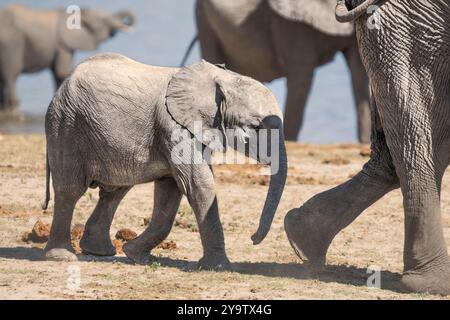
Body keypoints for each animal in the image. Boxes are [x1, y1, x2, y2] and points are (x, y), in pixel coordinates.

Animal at [43, 53, 288, 270]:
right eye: (256, 127)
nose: (253, 238)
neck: (221, 78)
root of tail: (63, 84)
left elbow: (171, 192)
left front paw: (137, 256)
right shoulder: (173, 128)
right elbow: (198, 185)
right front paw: (220, 267)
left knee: (115, 191)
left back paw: (100, 252)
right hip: (66, 124)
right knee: (70, 191)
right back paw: (62, 257)